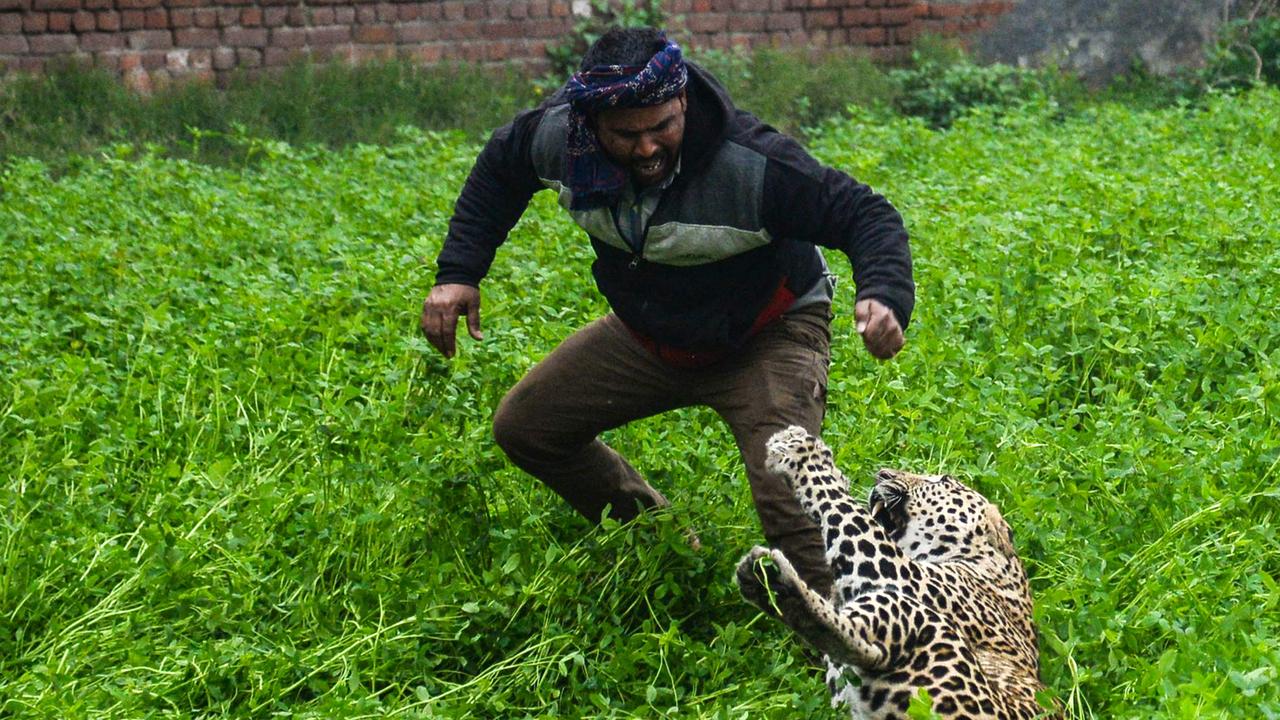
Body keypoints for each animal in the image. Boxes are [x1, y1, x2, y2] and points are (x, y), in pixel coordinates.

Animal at [737, 425, 1054, 717]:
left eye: (943, 480)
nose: (883, 473)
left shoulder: (904, 573)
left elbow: (848, 511)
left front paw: (804, 454)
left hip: (930, 645)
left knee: (867, 643)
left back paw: (776, 587)